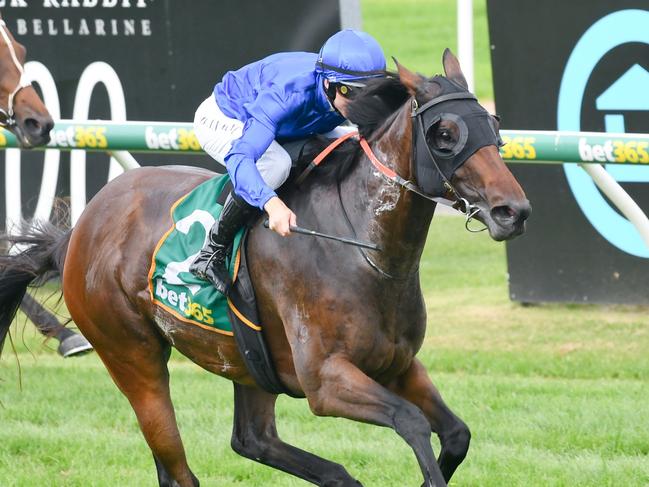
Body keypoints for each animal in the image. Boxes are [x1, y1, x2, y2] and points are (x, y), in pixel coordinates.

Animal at [0, 51, 528, 486]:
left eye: (493, 124)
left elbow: (456, 434)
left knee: (253, 440)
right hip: (131, 356)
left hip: (247, 362)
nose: (513, 211)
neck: (365, 250)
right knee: (179, 469)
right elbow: (413, 423)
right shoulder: (325, 381)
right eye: (445, 135)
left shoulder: (399, 366)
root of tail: (80, 229)